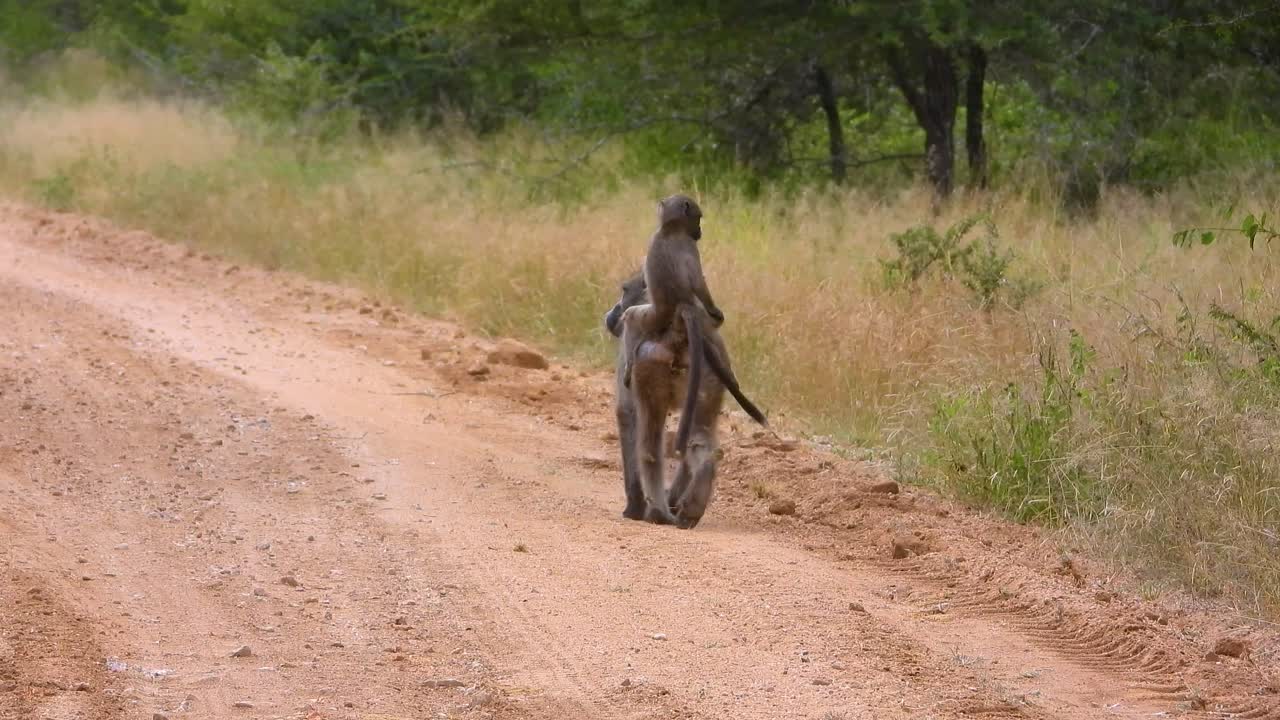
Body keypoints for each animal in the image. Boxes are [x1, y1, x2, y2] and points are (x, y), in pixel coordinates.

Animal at [604, 271, 767, 527]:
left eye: (624, 291)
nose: (613, 313)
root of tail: (679, 329)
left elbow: (626, 413)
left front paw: (634, 508)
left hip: (651, 361)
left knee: (650, 440)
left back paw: (658, 512)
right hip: (710, 371)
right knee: (701, 438)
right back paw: (691, 506)